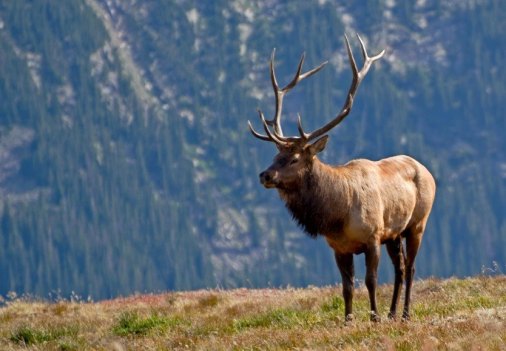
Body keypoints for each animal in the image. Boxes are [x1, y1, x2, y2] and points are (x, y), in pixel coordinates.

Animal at [249, 34, 434, 324]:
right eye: (275, 154)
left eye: (294, 159)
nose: (265, 175)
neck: (337, 215)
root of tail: (427, 170)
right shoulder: (339, 248)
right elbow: (347, 287)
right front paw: (348, 320)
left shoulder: (373, 236)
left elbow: (370, 280)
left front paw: (373, 318)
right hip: (394, 233)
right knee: (401, 269)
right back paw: (393, 313)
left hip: (417, 223)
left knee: (412, 267)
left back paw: (404, 314)